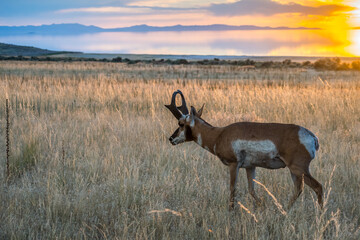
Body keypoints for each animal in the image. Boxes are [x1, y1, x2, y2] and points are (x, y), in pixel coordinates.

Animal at [165, 90, 322, 210]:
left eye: (180, 123)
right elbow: (251, 190)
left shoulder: (234, 165)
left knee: (317, 187)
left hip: (298, 169)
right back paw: (284, 210)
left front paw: (231, 211)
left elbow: (232, 188)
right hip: (294, 171)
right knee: (298, 189)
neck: (219, 134)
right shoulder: (250, 167)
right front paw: (262, 206)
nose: (171, 139)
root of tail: (311, 136)